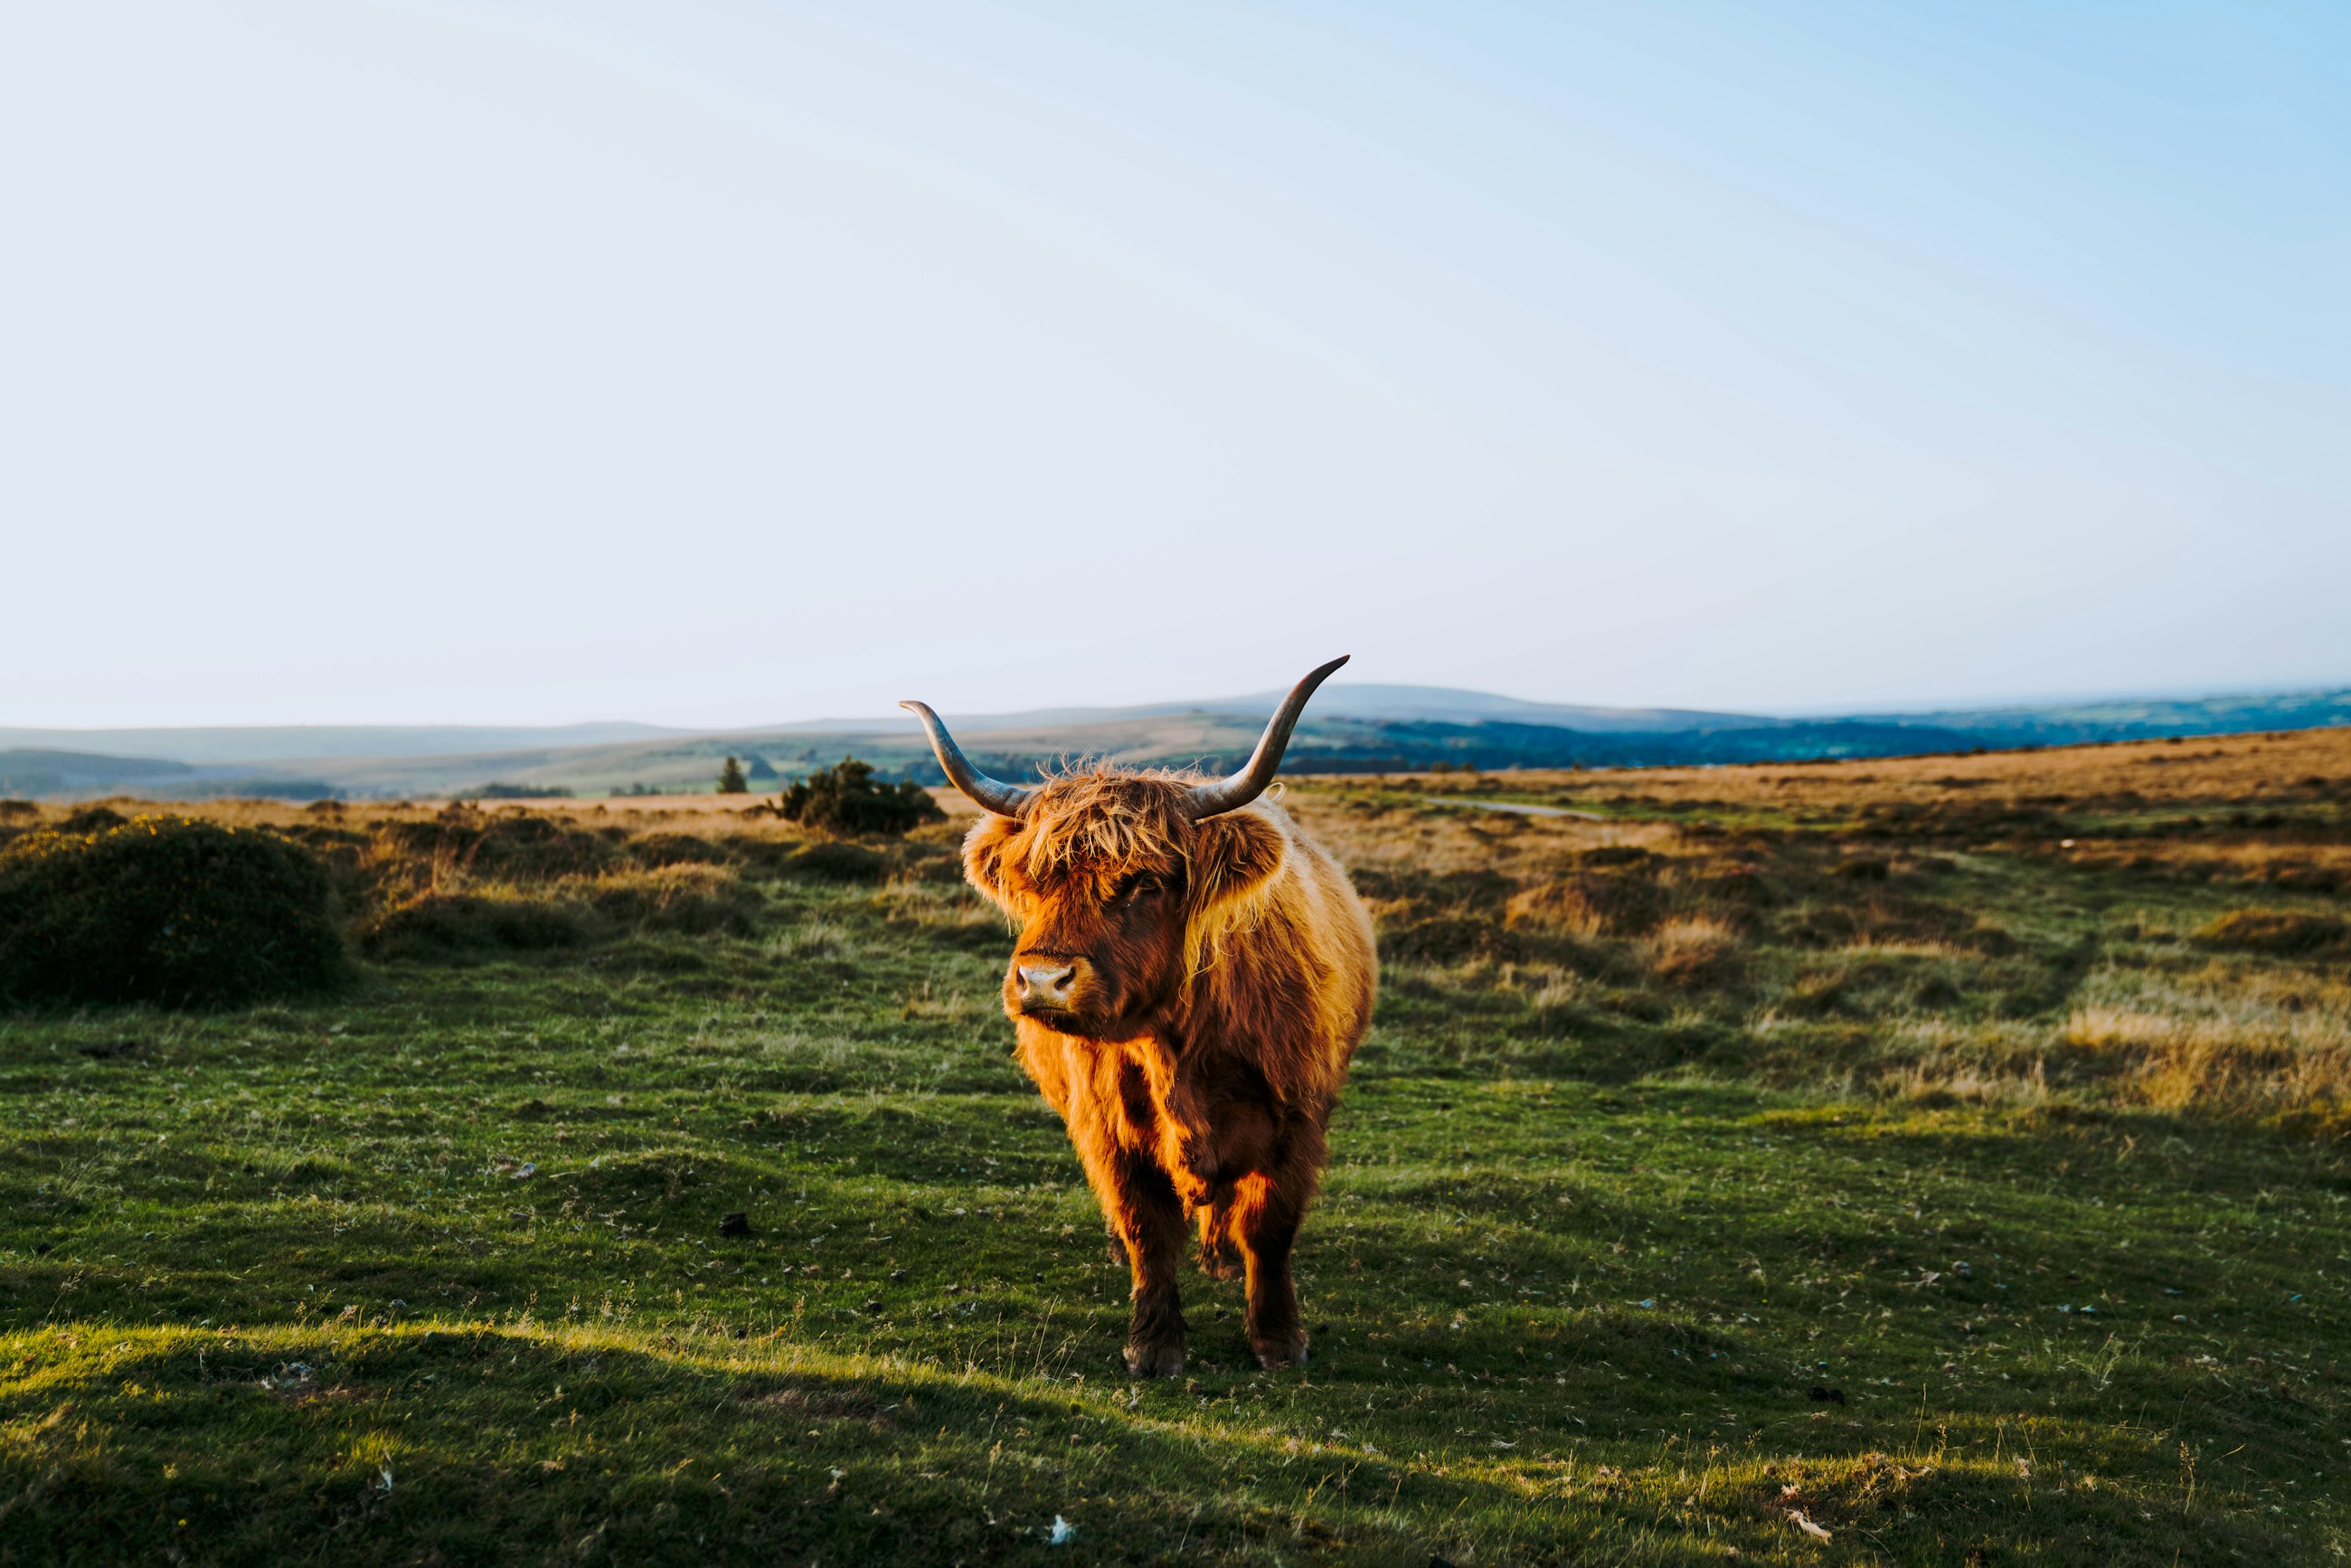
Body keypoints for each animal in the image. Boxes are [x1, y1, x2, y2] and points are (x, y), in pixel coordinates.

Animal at [901, 657, 1375, 1375]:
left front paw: (1277, 1340)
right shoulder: (1108, 1132)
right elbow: (1146, 1230)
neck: (1177, 1047)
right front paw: (1153, 1345)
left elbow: (1269, 1227)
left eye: (1144, 883)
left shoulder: (1296, 1122)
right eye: (1033, 881)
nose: (1043, 980)